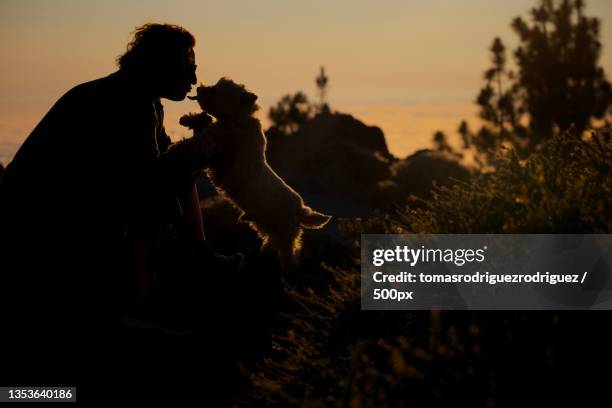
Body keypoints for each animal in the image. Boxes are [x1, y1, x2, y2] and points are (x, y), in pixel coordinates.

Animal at [179, 78, 332, 270]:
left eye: (216, 90)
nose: (199, 88)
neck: (239, 118)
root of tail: (300, 209)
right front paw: (188, 119)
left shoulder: (223, 150)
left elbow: (206, 137)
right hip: (265, 225)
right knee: (273, 241)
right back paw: (266, 249)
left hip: (285, 232)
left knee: (290, 253)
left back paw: (287, 267)